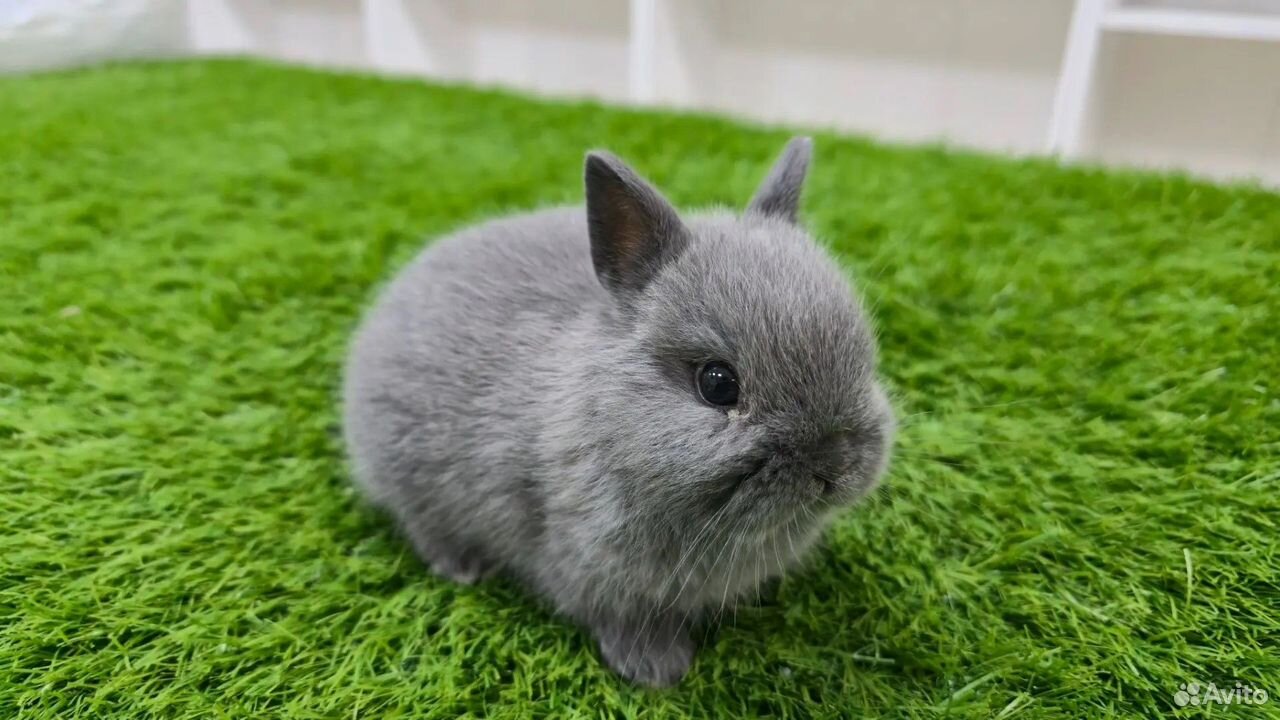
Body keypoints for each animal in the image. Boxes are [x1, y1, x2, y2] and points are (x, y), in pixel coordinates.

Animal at [342, 137, 895, 687]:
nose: (835, 466)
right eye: (718, 384)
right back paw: (462, 568)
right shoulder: (593, 566)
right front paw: (657, 671)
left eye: (862, 354)